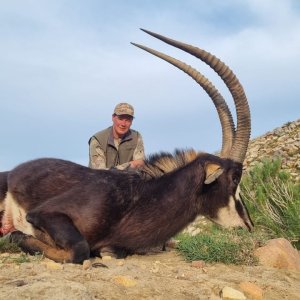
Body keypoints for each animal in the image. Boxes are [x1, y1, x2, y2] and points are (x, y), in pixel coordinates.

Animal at [0, 29, 253, 262]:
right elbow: (79, 249)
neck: (135, 200)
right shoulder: (44, 214)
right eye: (234, 178)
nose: (248, 226)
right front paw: (18, 237)